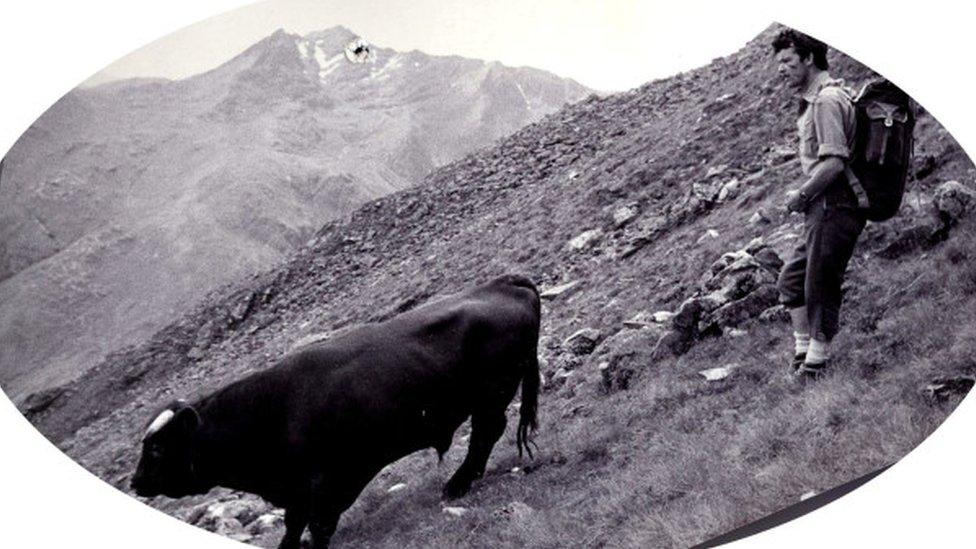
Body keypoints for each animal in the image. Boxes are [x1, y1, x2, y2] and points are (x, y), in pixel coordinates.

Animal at [130, 276, 540, 548]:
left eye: (157, 448)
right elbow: (294, 523)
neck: (270, 411)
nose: (135, 482)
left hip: (491, 396)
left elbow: (318, 522)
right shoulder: (297, 487)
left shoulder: (332, 477)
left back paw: (457, 484)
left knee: (487, 433)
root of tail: (504, 283)